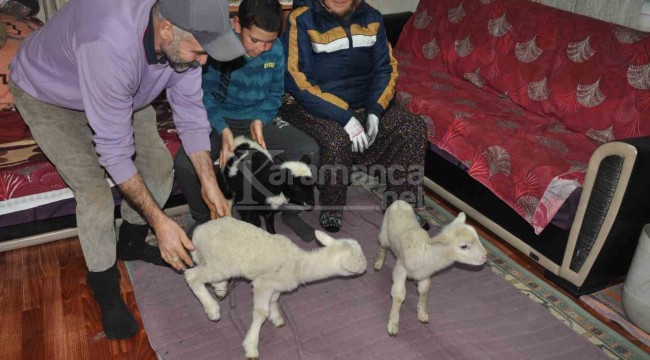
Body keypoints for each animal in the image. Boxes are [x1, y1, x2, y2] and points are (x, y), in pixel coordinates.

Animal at [184, 217, 364, 360]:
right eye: (360, 258)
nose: (365, 267)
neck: (300, 265)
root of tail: (197, 235)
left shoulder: (276, 286)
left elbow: (274, 301)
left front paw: (277, 319)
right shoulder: (263, 284)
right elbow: (261, 313)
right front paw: (251, 347)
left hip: (213, 262)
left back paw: (220, 289)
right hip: (220, 265)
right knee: (191, 276)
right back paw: (212, 309)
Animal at [372, 201, 484, 336]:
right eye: (463, 246)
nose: (485, 256)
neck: (426, 252)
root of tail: (399, 201)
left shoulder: (426, 275)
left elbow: (424, 291)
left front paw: (422, 312)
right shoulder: (401, 268)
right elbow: (399, 295)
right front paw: (393, 323)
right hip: (384, 233)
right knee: (383, 246)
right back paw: (378, 262)